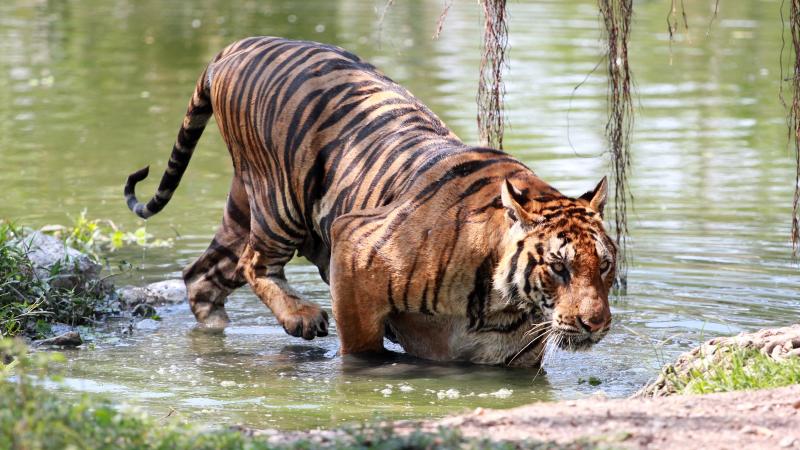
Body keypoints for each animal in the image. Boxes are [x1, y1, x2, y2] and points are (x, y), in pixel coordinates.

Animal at [124, 37, 616, 367]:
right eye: (558, 267)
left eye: (605, 266)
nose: (596, 324)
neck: (502, 307)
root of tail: (239, 44)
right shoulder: (355, 249)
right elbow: (362, 351)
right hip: (280, 203)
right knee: (254, 263)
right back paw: (301, 317)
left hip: (243, 209)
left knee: (201, 276)